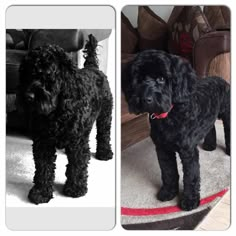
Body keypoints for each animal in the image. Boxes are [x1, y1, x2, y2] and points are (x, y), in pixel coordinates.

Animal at [17, 34, 113, 205]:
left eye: (48, 75)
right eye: (27, 74)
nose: (28, 97)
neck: (56, 112)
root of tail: (93, 67)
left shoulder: (77, 141)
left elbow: (77, 164)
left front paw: (75, 188)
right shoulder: (43, 142)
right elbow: (44, 168)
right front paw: (41, 192)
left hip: (105, 114)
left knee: (104, 133)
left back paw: (104, 153)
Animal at [122, 49, 230, 210]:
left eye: (161, 78)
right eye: (139, 79)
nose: (145, 99)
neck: (170, 115)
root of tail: (220, 78)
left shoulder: (188, 152)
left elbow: (190, 177)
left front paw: (190, 201)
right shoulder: (163, 149)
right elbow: (168, 172)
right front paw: (168, 192)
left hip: (228, 114)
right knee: (210, 127)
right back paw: (210, 146)